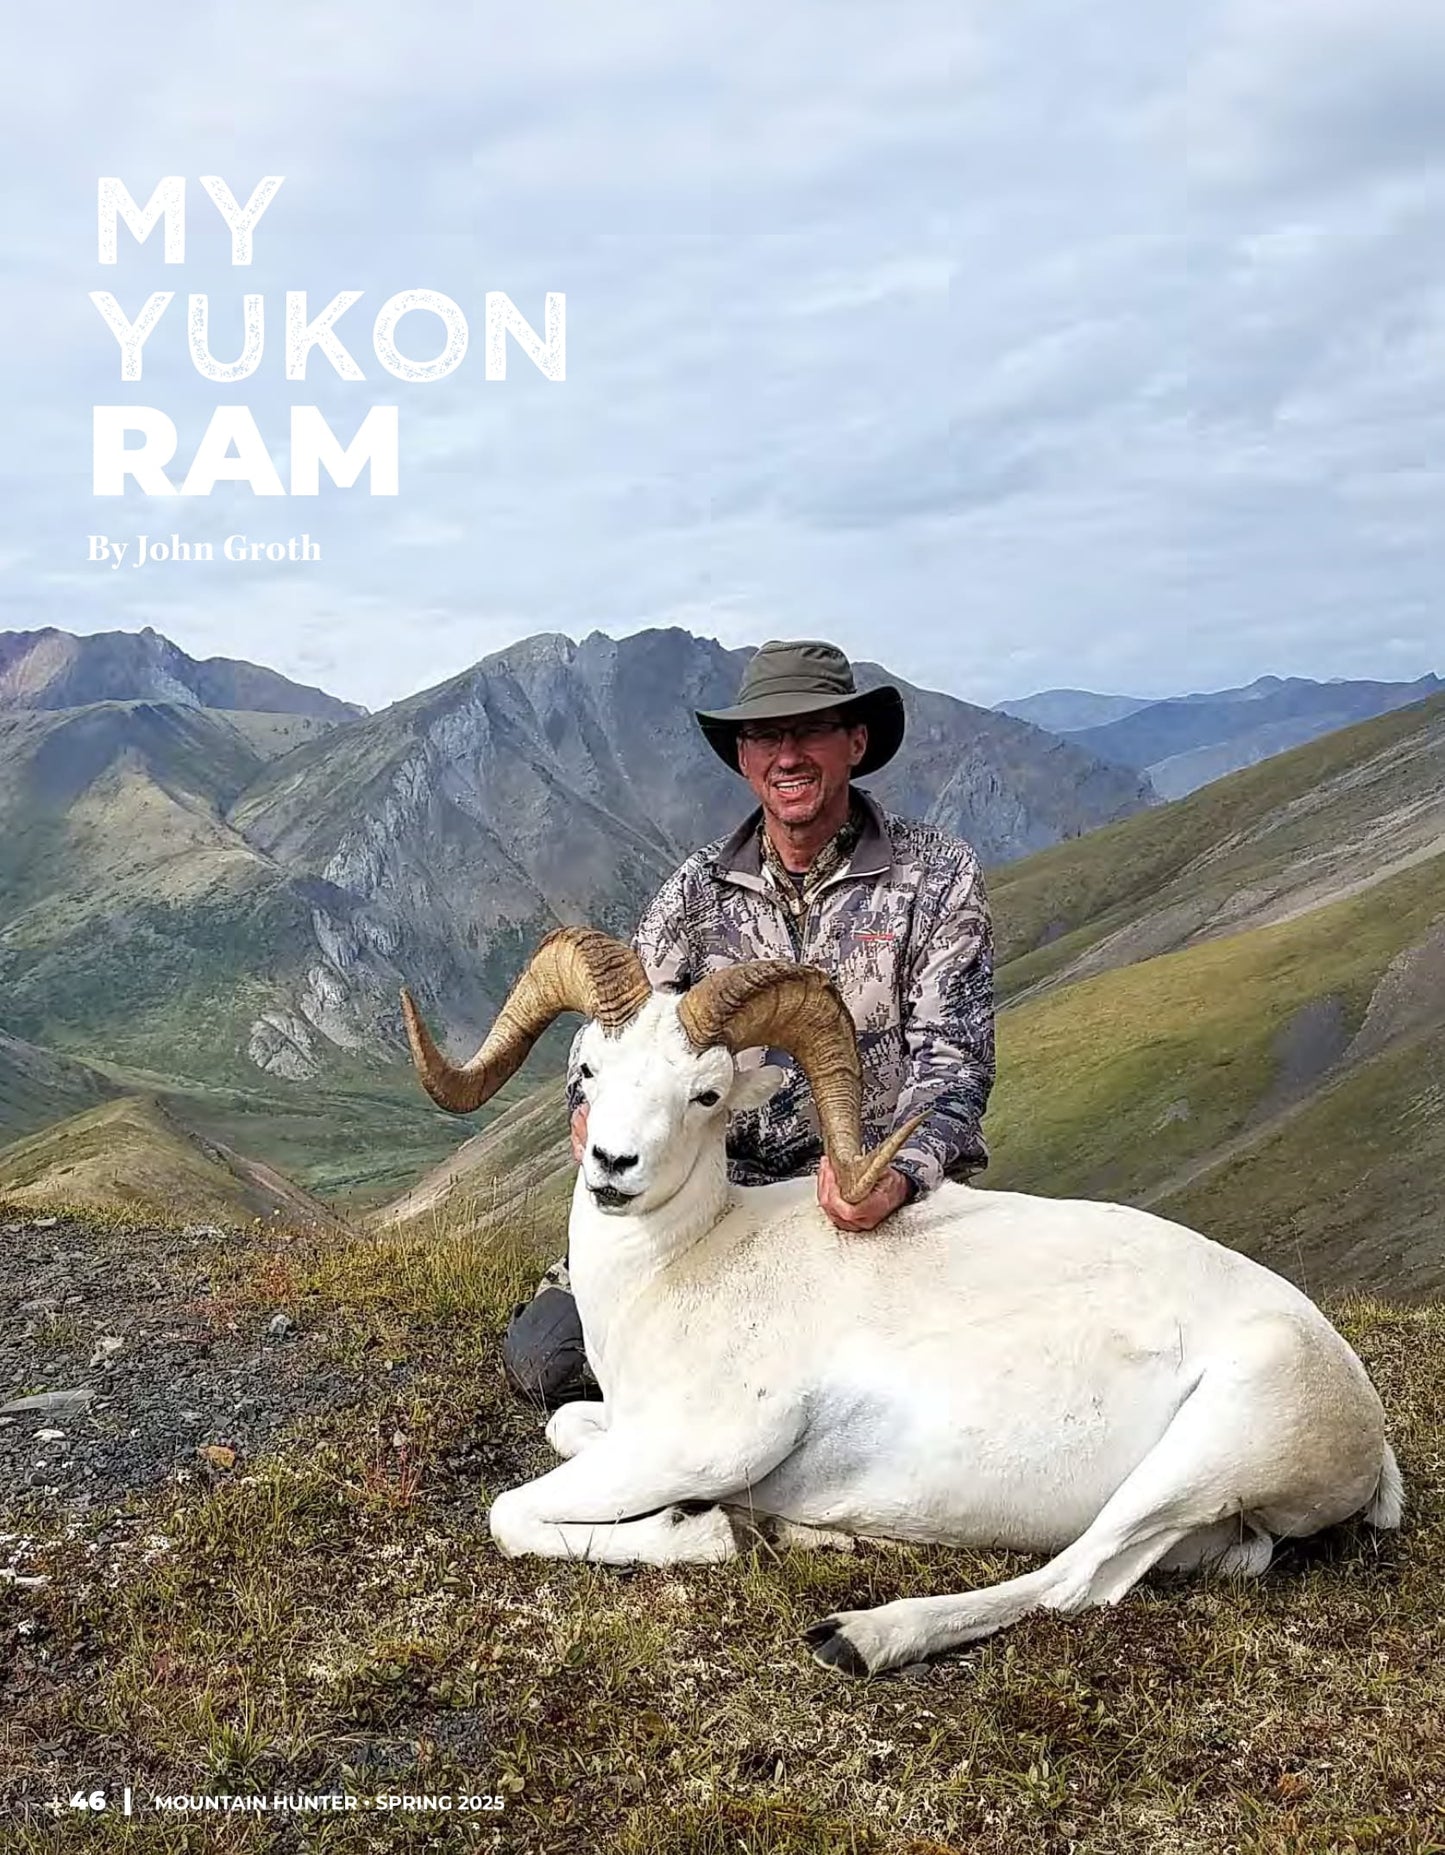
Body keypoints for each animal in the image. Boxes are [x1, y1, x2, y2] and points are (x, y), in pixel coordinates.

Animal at [402, 927, 1403, 1676]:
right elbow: (563, 1425)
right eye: (588, 1072)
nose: (613, 1167)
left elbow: (511, 1513)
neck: (690, 1266)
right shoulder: (624, 1430)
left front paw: (717, 1534)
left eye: (705, 1092)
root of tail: (1360, 1416)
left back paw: (857, 1634)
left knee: (1073, 1580)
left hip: (1205, 1447)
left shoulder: (699, 1443)